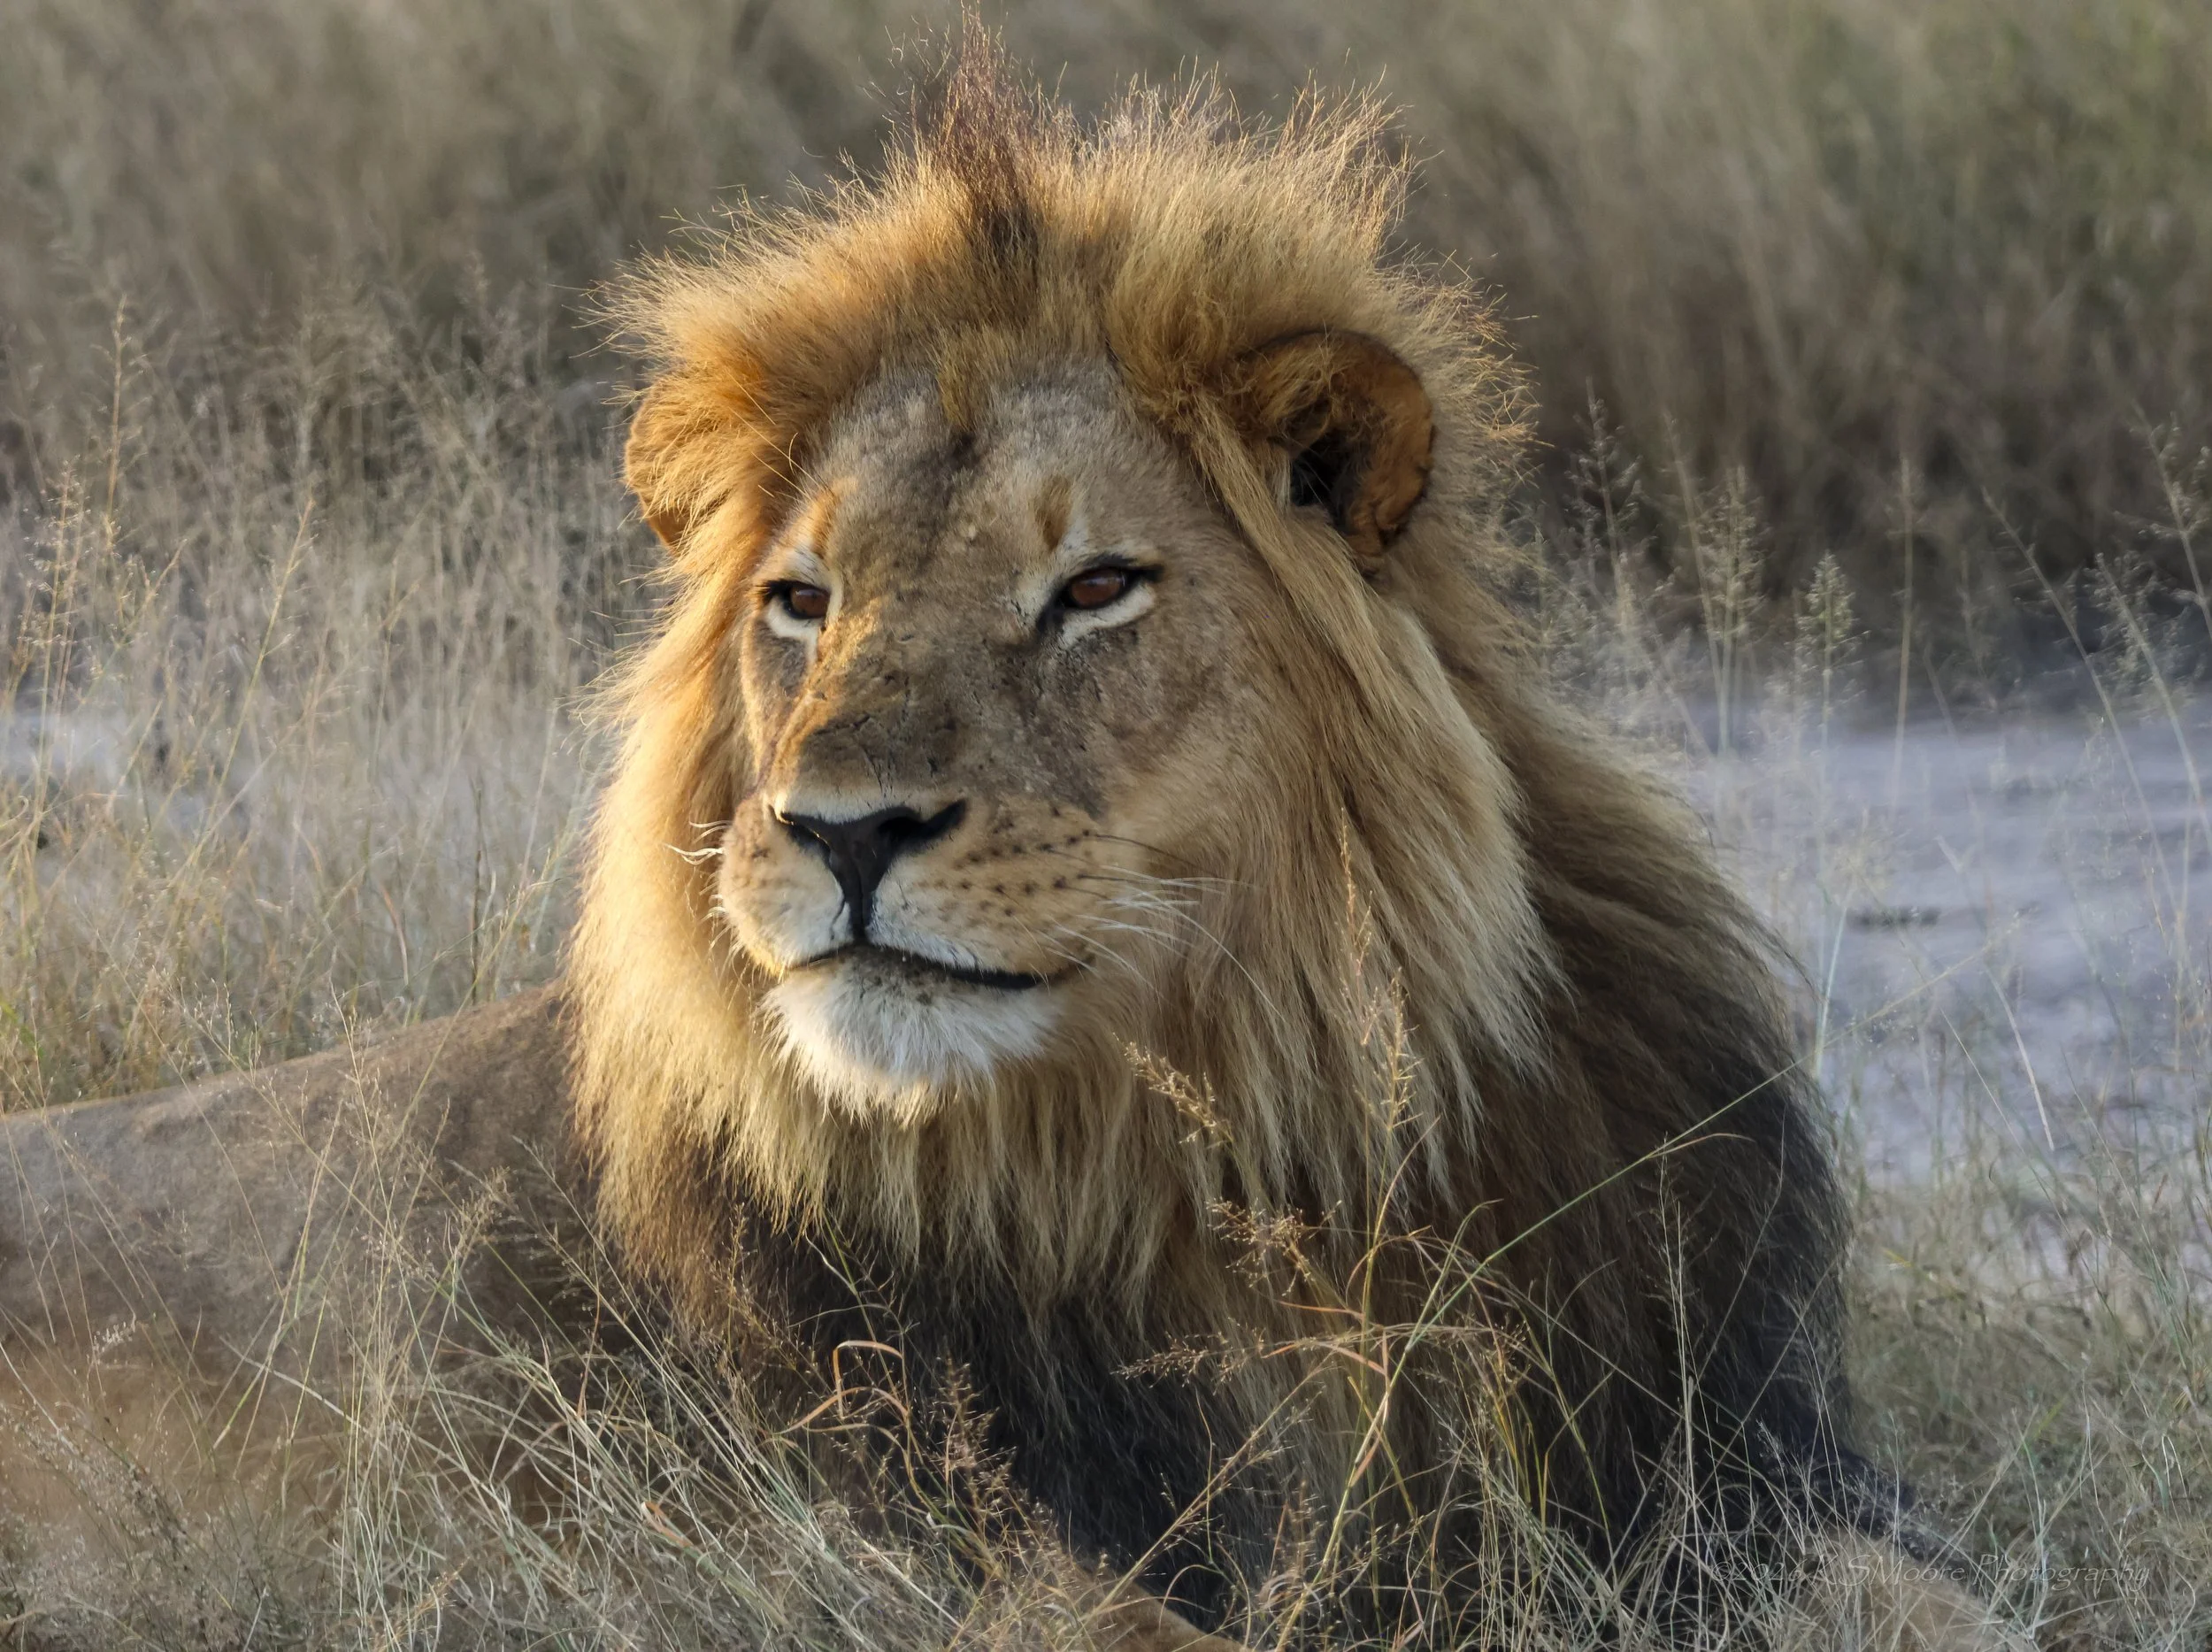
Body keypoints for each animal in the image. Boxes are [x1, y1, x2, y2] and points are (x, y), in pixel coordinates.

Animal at [566, 45, 2006, 1651]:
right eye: (803, 601)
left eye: (1097, 589)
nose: (842, 828)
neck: (1245, 1165)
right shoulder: (873, 1549)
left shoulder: (1716, 1482)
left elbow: (1956, 1597)